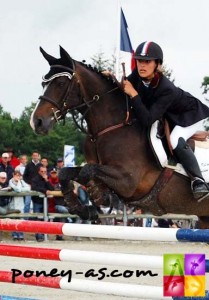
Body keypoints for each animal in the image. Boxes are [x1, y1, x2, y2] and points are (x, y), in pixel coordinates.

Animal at [30, 45, 209, 229]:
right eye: (43, 83)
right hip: (204, 218)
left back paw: (200, 187)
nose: (36, 122)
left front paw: (101, 195)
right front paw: (85, 209)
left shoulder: (128, 181)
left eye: (60, 83)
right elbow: (66, 173)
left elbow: (88, 171)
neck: (111, 127)